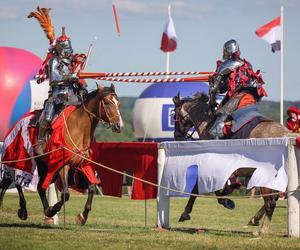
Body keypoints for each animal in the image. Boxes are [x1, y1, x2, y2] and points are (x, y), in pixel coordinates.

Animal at [0, 83, 123, 225]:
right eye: (107, 102)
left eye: (118, 103)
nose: (119, 126)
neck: (79, 128)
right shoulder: (63, 165)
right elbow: (66, 193)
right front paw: (53, 210)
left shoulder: (83, 165)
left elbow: (92, 187)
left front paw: (82, 216)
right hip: (21, 159)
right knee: (16, 181)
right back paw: (24, 210)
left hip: (44, 166)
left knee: (39, 187)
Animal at [172, 91, 290, 234]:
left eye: (175, 114)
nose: (177, 135)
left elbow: (201, 189)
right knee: (274, 198)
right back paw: (255, 220)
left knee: (271, 202)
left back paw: (262, 230)